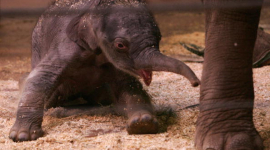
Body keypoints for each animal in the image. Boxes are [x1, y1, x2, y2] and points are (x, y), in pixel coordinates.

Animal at [8, 0, 200, 142]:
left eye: (159, 37)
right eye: (120, 45)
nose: (196, 83)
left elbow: (128, 85)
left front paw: (142, 124)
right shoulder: (67, 45)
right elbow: (41, 78)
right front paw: (22, 137)